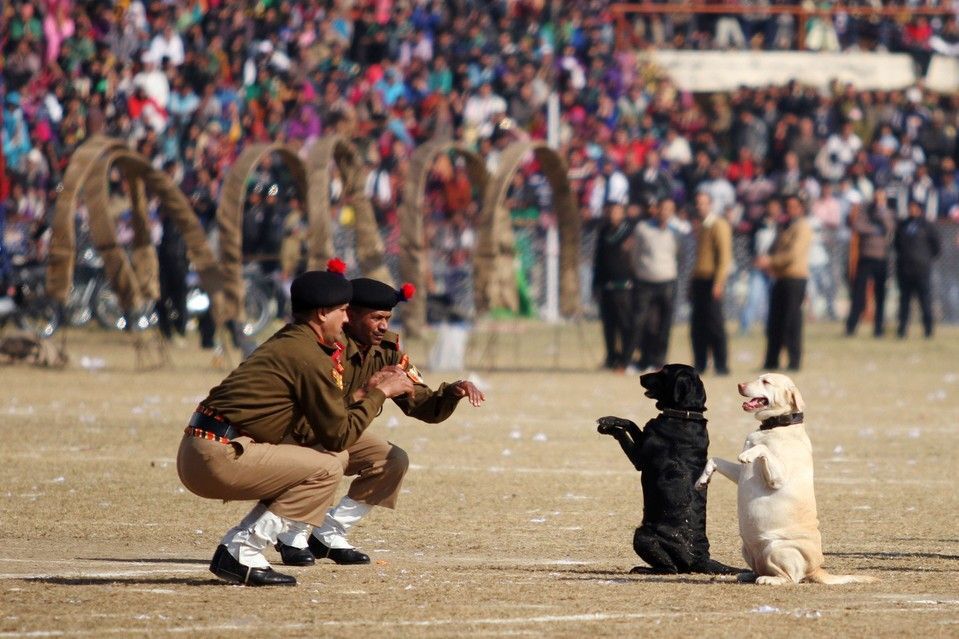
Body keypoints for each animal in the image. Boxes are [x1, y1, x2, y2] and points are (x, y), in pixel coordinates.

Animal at [596, 364, 740, 576]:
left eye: (663, 372)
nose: (641, 376)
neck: (684, 414)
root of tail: (701, 557)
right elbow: (632, 423)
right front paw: (610, 420)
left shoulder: (639, 458)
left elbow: (625, 430)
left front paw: (608, 426)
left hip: (642, 535)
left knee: (670, 569)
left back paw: (642, 569)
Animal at [696, 372, 876, 588]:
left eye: (766, 381)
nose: (740, 385)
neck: (776, 426)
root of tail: (816, 568)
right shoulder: (740, 475)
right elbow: (714, 459)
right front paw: (702, 480)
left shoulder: (778, 478)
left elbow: (762, 449)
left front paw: (748, 454)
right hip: (747, 549)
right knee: (758, 569)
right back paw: (740, 575)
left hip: (776, 548)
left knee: (791, 578)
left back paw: (768, 579)